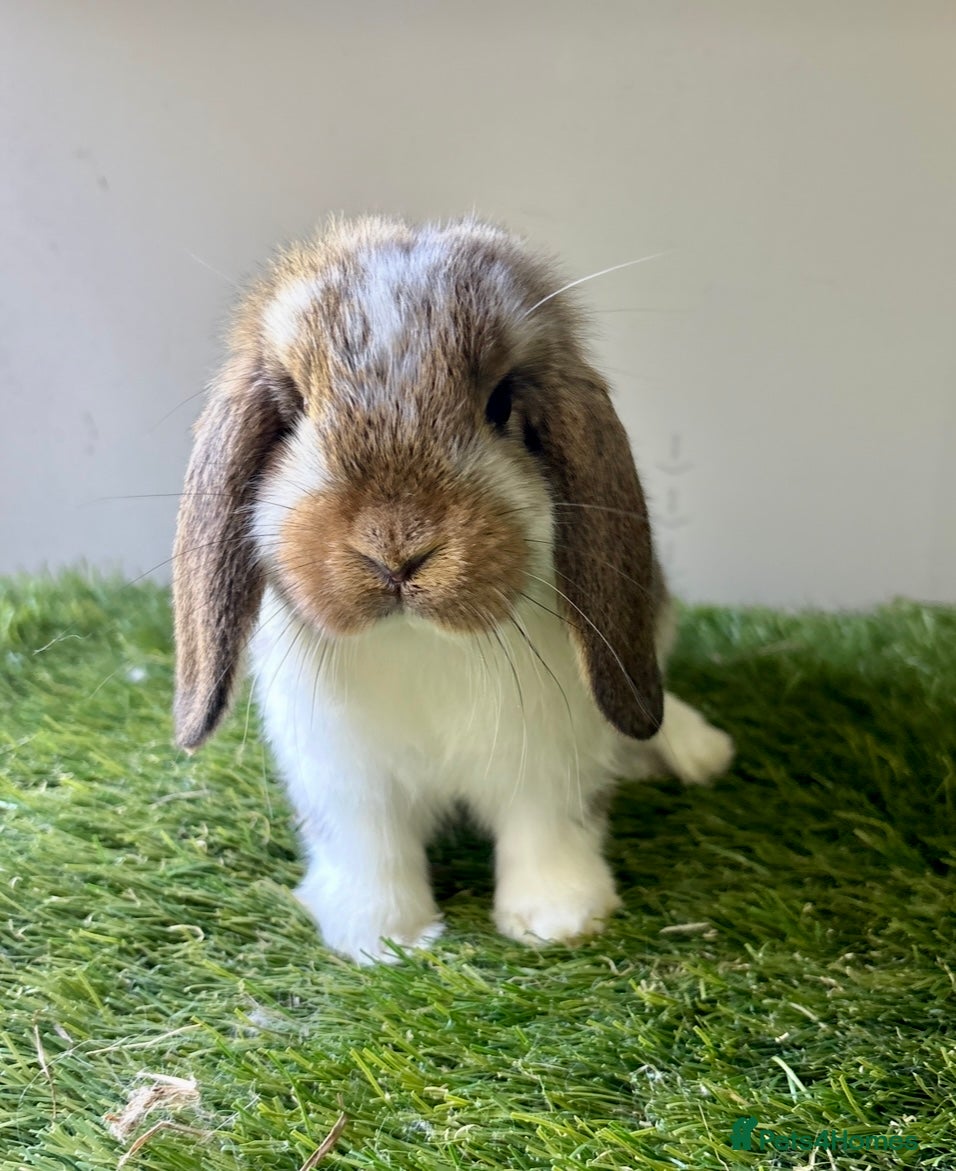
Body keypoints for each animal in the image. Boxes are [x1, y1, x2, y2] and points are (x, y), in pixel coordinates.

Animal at [172, 215, 734, 964]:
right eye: (294, 409)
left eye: (501, 403)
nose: (396, 551)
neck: (419, 643)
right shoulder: (347, 785)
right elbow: (372, 852)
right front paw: (382, 938)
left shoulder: (548, 766)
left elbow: (545, 834)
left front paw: (558, 920)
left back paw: (699, 751)